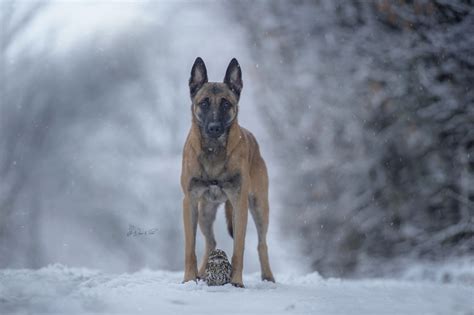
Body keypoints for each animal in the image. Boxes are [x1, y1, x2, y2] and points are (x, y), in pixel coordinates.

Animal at [181, 57, 278, 288]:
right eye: (204, 102)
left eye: (226, 103)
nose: (215, 128)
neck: (214, 150)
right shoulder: (190, 201)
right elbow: (190, 247)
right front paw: (189, 279)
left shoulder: (239, 204)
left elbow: (238, 249)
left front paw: (236, 282)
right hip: (205, 212)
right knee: (211, 241)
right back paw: (201, 272)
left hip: (259, 207)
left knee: (262, 243)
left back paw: (268, 276)